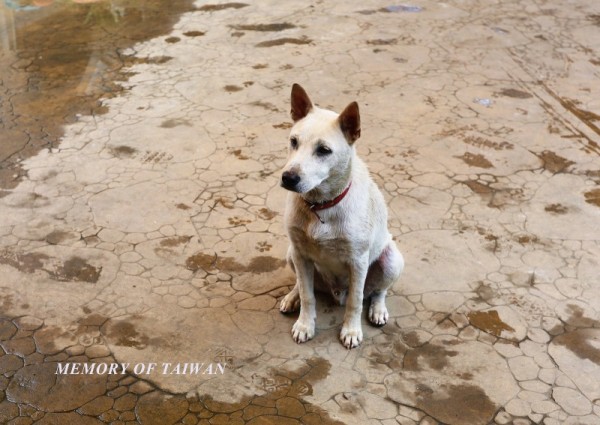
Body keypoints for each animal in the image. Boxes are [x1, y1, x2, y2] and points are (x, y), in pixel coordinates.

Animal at [280, 83, 404, 348]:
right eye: (293, 141)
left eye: (324, 150)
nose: (288, 178)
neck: (320, 207)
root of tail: (336, 292)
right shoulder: (300, 254)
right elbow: (308, 295)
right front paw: (305, 325)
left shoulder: (358, 261)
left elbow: (355, 302)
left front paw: (351, 331)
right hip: (291, 253)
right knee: (303, 285)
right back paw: (292, 297)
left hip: (391, 260)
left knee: (377, 291)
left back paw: (378, 310)